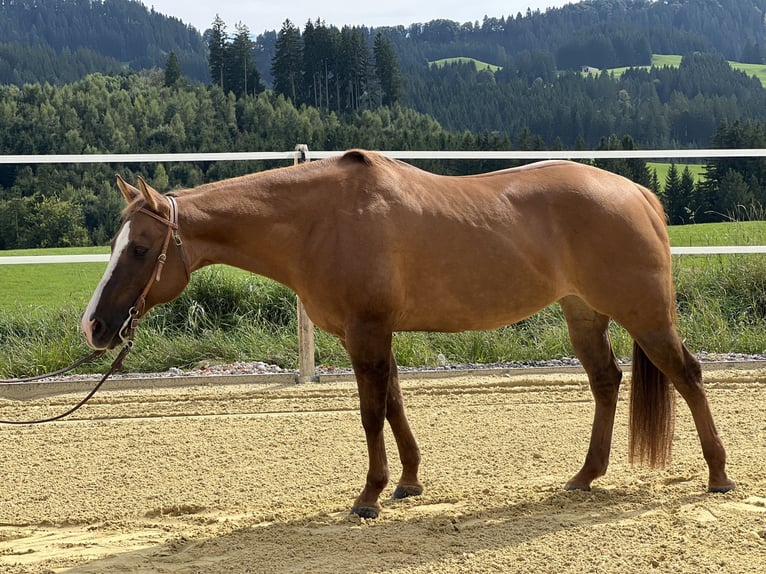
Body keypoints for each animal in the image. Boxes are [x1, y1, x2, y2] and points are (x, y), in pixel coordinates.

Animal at [81, 150, 735, 518]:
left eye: (140, 249)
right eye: (116, 244)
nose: (96, 326)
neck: (320, 220)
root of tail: (638, 192)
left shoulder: (366, 333)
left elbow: (371, 412)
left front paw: (369, 496)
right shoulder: (373, 334)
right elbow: (395, 403)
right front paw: (409, 483)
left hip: (644, 314)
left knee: (688, 375)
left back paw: (719, 475)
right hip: (584, 314)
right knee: (606, 381)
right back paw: (584, 477)